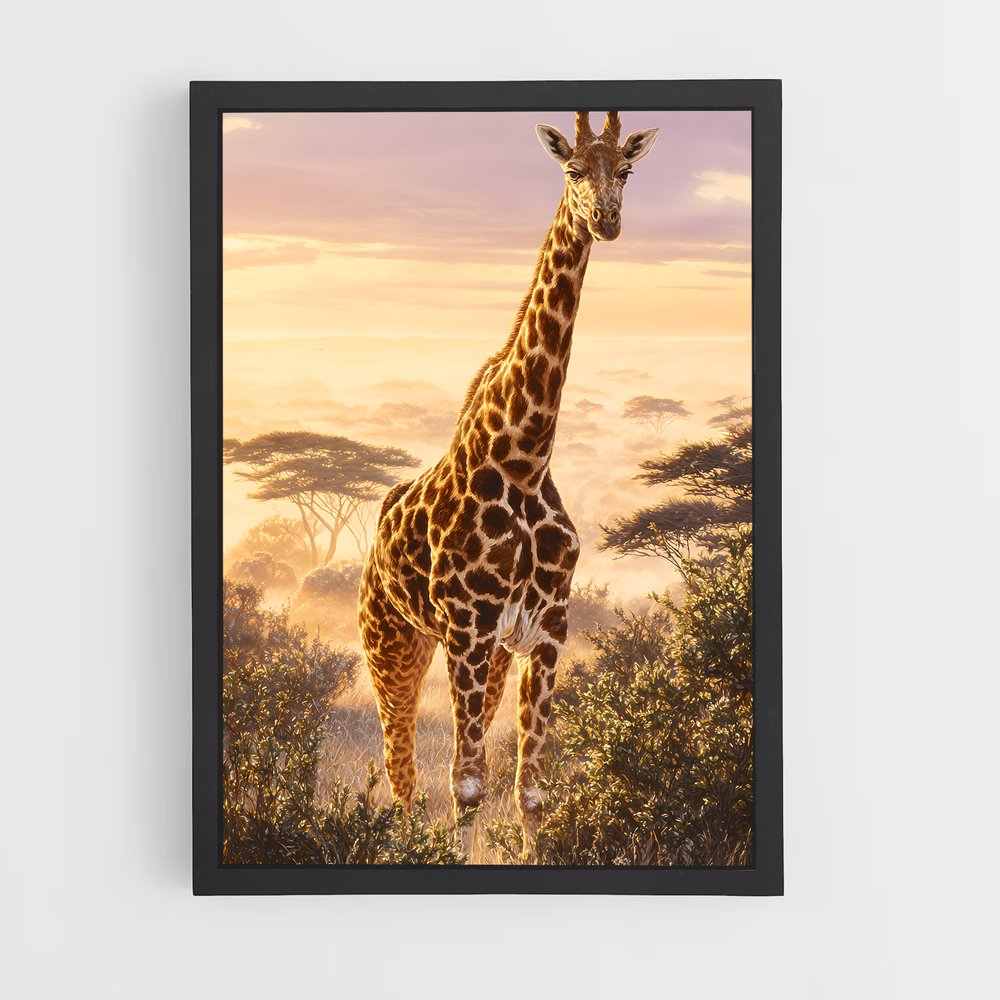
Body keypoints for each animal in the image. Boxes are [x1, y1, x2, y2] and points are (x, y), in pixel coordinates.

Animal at [358, 110, 659, 859]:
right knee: (402, 771)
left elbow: (530, 791)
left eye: (626, 170)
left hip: (485, 659)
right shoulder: (467, 631)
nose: (606, 220)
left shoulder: (546, 632)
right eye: (573, 170)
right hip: (393, 644)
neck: (524, 460)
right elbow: (466, 786)